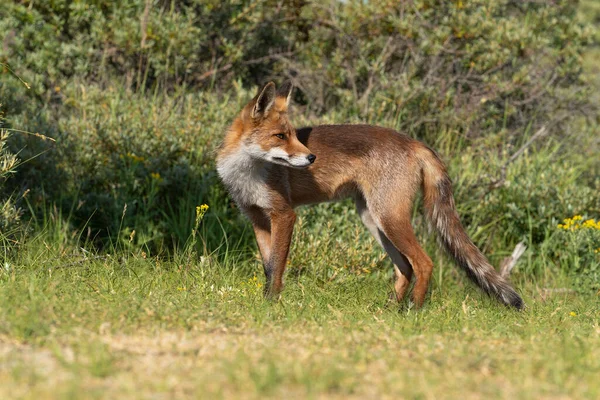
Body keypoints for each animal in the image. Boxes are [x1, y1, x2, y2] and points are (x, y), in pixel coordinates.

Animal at [218, 81, 524, 310]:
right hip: (374, 221)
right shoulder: (258, 218)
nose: (311, 157)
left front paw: (271, 304)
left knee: (423, 263)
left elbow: (277, 266)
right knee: (405, 268)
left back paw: (413, 311)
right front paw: (267, 302)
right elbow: (268, 266)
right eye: (280, 136)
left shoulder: (284, 215)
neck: (247, 173)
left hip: (388, 218)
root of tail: (414, 141)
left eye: (294, 135)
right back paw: (390, 310)